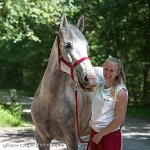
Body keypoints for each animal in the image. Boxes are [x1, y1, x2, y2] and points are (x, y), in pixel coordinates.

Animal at [31, 14, 97, 150]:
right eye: (67, 45)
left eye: (86, 46)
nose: (91, 79)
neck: (49, 102)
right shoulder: (41, 139)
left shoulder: (71, 139)